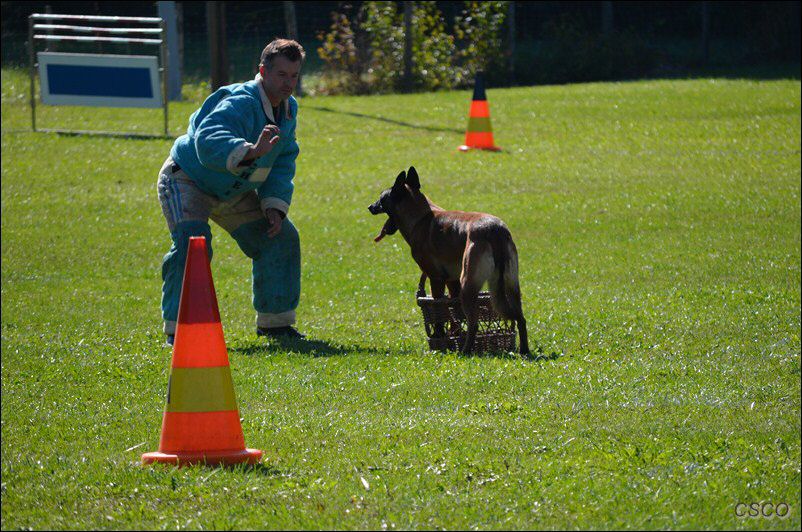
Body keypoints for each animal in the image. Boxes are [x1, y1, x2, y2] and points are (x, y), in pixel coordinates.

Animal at [368, 167, 532, 358]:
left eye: (381, 198)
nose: (370, 207)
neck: (421, 217)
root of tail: (495, 231)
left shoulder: (436, 278)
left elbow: (441, 315)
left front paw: (440, 336)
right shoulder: (452, 282)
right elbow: (454, 315)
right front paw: (453, 335)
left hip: (468, 285)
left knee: (474, 323)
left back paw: (465, 351)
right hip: (511, 286)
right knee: (521, 319)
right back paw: (524, 350)